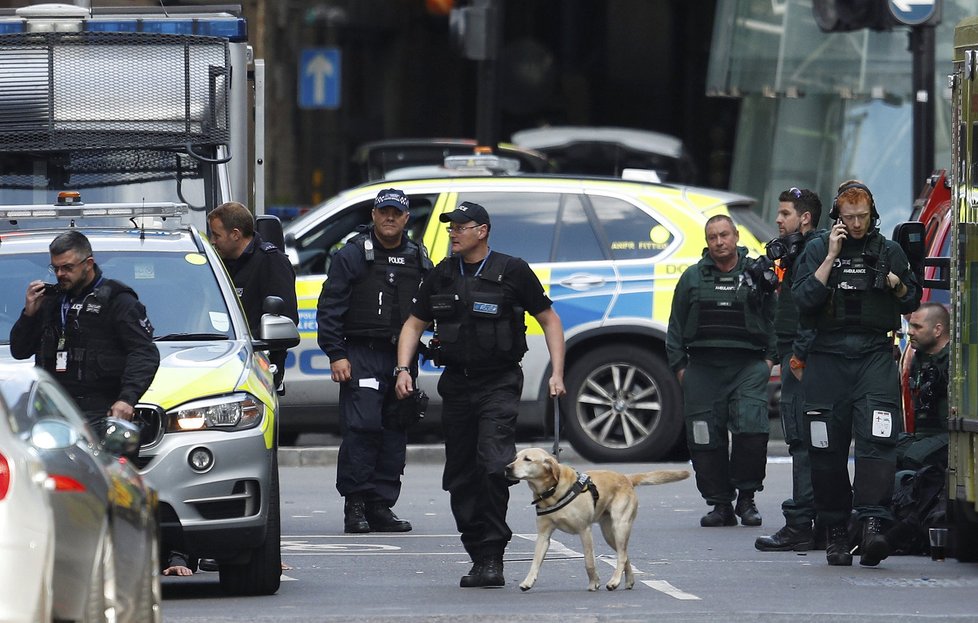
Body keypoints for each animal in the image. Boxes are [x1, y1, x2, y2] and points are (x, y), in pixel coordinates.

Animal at [504, 448, 688, 588]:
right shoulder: (543, 535)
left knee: (622, 555)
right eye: (515, 458)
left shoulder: (584, 530)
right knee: (624, 553)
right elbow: (535, 562)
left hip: (620, 527)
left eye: (527, 459)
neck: (552, 491)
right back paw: (628, 581)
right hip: (609, 534)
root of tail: (626, 478)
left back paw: (614, 581)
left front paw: (594, 583)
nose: (507, 467)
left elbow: (589, 561)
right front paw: (528, 582)